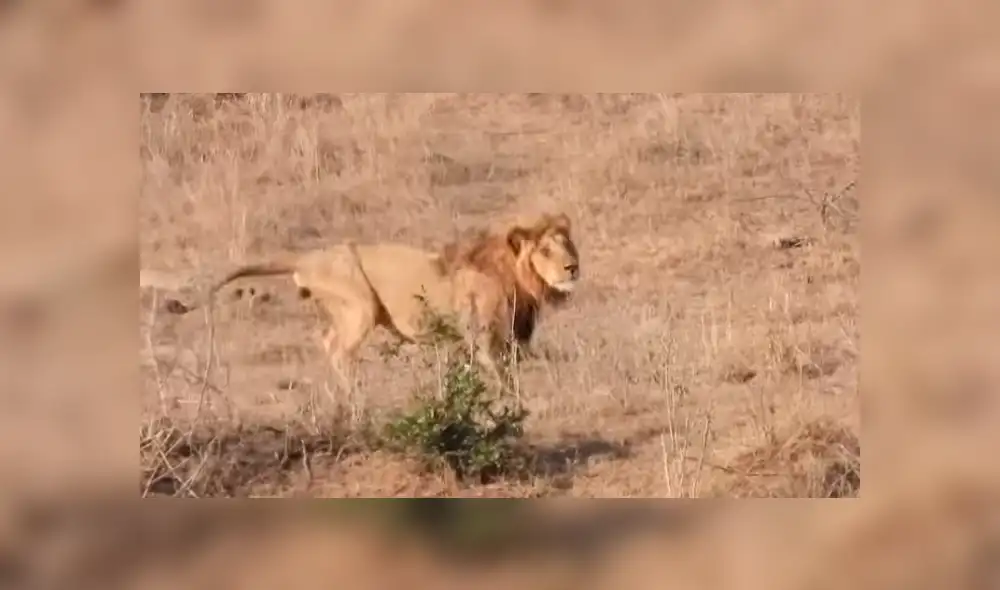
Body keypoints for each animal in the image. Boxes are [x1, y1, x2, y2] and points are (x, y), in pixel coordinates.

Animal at [165, 212, 581, 395]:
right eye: (545, 251)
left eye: (568, 246)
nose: (572, 267)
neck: (517, 277)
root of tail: (306, 258)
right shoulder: (483, 336)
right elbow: (502, 377)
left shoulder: (512, 337)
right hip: (359, 304)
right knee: (338, 350)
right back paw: (356, 397)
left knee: (327, 343)